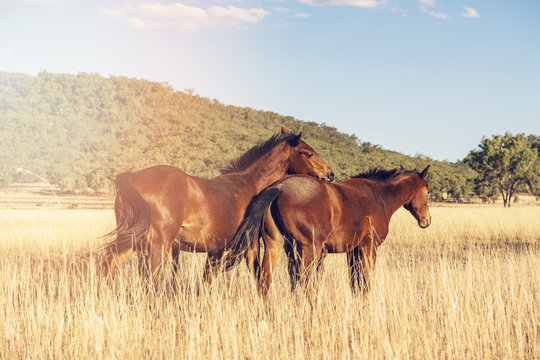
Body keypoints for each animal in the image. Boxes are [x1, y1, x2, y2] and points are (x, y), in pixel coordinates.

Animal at [101, 128, 334, 282]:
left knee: (110, 267)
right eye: (309, 153)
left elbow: (205, 283)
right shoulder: (250, 247)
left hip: (132, 243)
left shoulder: (214, 251)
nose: (330, 174)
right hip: (159, 246)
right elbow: (258, 277)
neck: (248, 184)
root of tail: (133, 177)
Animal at [223, 166, 430, 300]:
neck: (378, 196)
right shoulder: (368, 248)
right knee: (304, 280)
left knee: (265, 279)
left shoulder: (353, 251)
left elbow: (355, 282)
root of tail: (279, 187)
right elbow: (366, 281)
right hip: (310, 249)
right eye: (427, 191)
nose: (427, 220)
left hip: (276, 244)